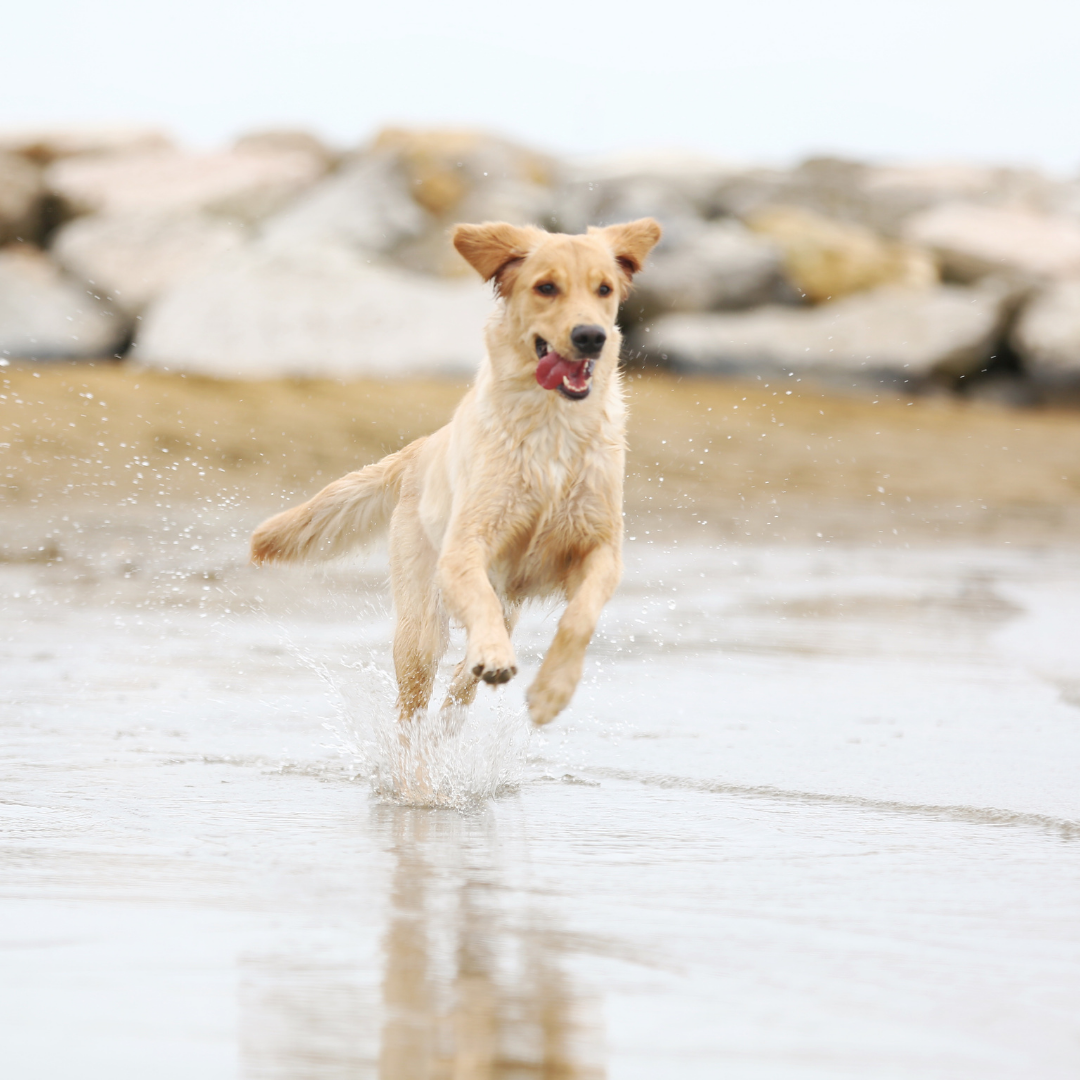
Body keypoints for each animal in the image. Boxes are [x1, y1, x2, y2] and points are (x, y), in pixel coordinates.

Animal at [249, 218, 660, 725]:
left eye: (604, 289)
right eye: (546, 287)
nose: (590, 336)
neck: (552, 429)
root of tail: (421, 447)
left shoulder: (599, 548)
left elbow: (580, 617)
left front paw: (552, 691)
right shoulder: (466, 548)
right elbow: (479, 601)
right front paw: (502, 662)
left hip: (505, 610)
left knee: (460, 687)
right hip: (421, 624)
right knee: (412, 707)